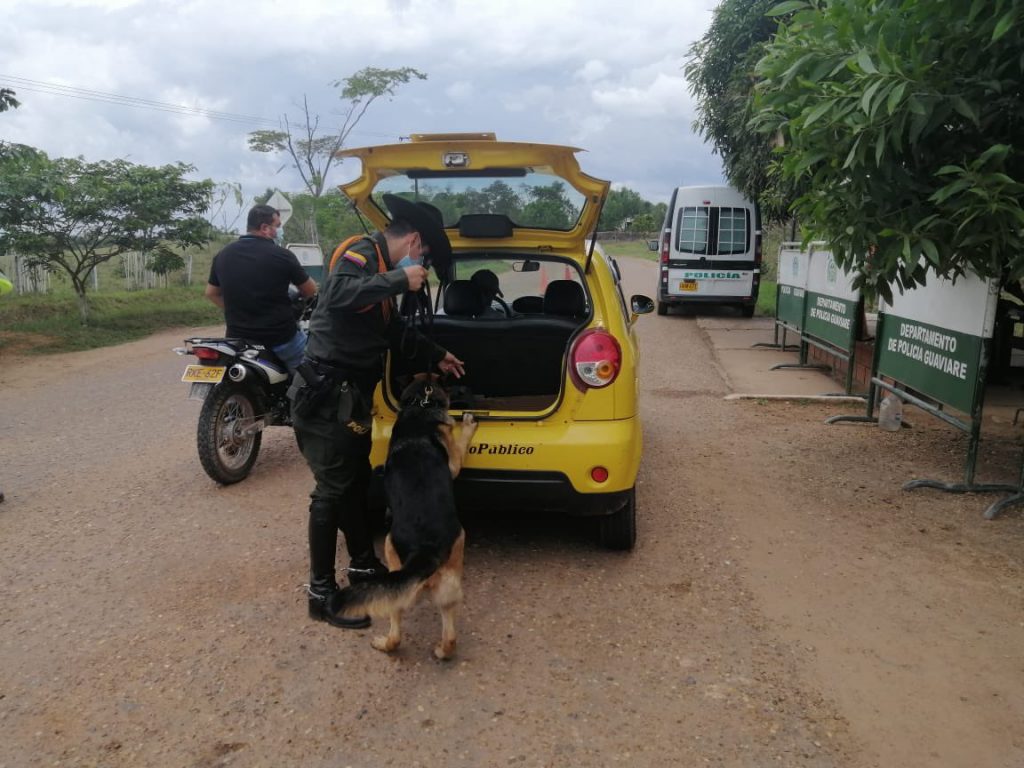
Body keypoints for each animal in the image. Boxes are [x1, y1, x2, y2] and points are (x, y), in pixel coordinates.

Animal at [335, 376, 479, 659]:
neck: (419, 406)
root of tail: (426, 549)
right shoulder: (454, 464)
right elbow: (460, 442)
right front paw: (467, 424)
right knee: (408, 633)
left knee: (440, 635)